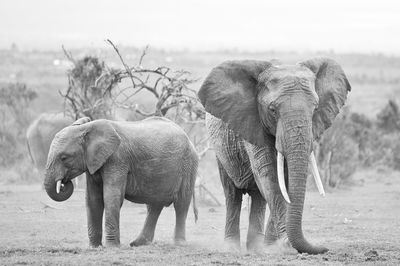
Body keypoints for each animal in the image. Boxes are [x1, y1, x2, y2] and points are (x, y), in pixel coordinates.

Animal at [198, 57, 352, 254]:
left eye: (315, 109)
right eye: (272, 110)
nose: (324, 248)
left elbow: (284, 183)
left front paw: (275, 246)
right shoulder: (252, 122)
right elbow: (270, 176)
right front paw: (285, 244)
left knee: (258, 196)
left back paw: (257, 246)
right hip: (220, 148)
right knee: (232, 193)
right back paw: (232, 247)